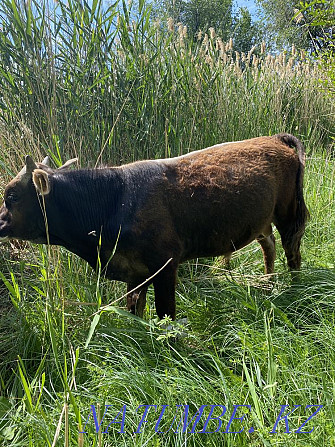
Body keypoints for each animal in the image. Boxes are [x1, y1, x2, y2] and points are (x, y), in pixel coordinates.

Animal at [0, 135, 310, 320]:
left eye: (11, 196)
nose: (0, 222)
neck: (117, 199)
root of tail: (273, 138)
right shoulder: (135, 272)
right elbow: (134, 309)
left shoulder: (165, 265)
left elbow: (165, 315)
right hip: (261, 221)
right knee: (269, 245)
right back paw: (268, 286)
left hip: (289, 213)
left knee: (292, 252)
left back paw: (295, 289)